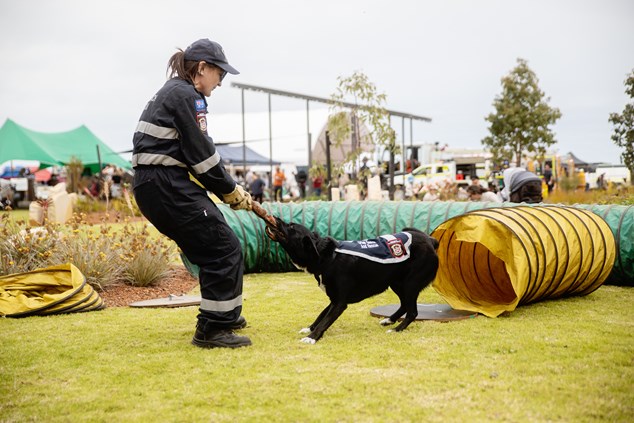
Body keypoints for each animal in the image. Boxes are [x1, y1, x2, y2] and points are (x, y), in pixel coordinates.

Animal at [264, 219, 436, 344]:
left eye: (291, 226)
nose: (276, 218)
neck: (327, 257)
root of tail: (430, 239)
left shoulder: (340, 303)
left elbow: (325, 320)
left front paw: (311, 337)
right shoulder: (334, 299)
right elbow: (321, 315)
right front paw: (309, 329)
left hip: (410, 283)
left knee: (412, 311)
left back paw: (396, 329)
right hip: (396, 283)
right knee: (404, 305)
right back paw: (389, 320)